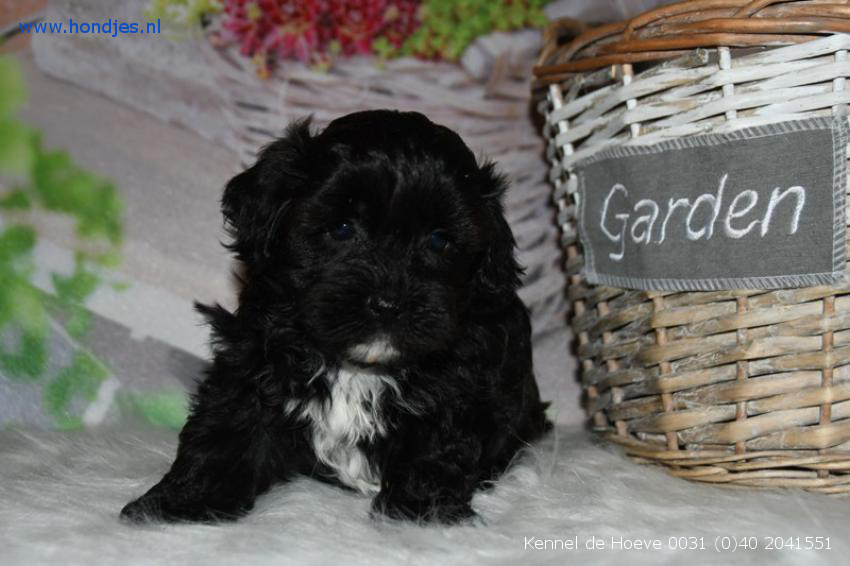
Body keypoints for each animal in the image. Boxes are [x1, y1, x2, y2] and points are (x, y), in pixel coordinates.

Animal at [120, 110, 550, 524]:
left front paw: (420, 513)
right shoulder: (253, 356)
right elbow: (227, 428)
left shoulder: (461, 379)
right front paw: (184, 504)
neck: (359, 367)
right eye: (342, 228)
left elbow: (438, 443)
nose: (388, 303)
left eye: (439, 241)